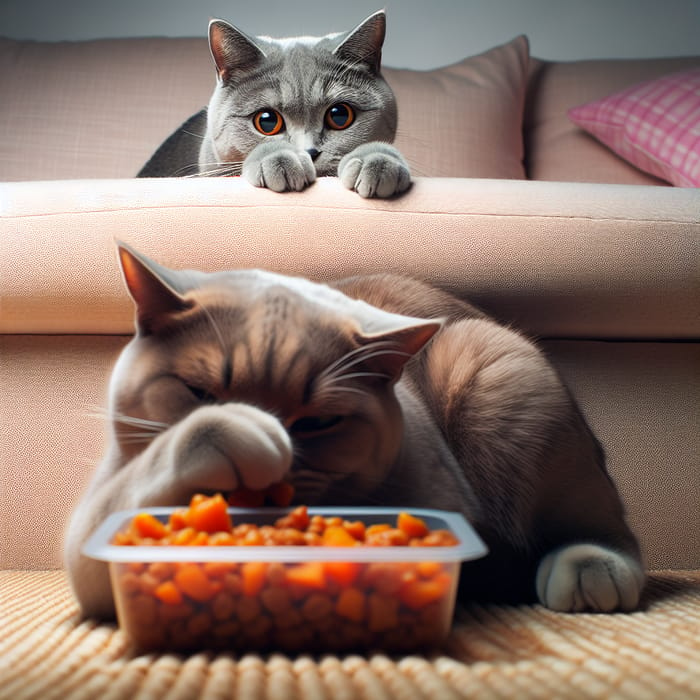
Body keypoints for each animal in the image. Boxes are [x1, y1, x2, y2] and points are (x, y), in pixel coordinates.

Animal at [65, 245, 644, 616]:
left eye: (318, 422)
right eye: (200, 392)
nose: (275, 471)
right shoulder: (95, 531)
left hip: (497, 372)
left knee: (606, 532)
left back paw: (590, 570)